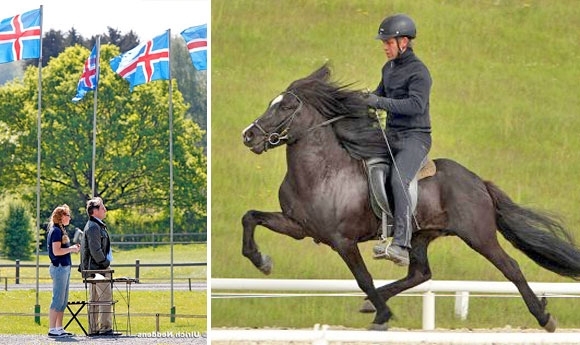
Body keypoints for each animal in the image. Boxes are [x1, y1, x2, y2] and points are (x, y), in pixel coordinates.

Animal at [239, 63, 580, 330]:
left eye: (285, 107)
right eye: (272, 102)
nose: (249, 135)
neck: (321, 172)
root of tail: (478, 181)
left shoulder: (342, 240)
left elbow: (362, 277)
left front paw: (384, 315)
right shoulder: (299, 227)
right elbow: (250, 217)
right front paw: (261, 261)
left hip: (478, 234)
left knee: (510, 267)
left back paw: (544, 317)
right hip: (420, 234)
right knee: (421, 273)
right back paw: (372, 302)